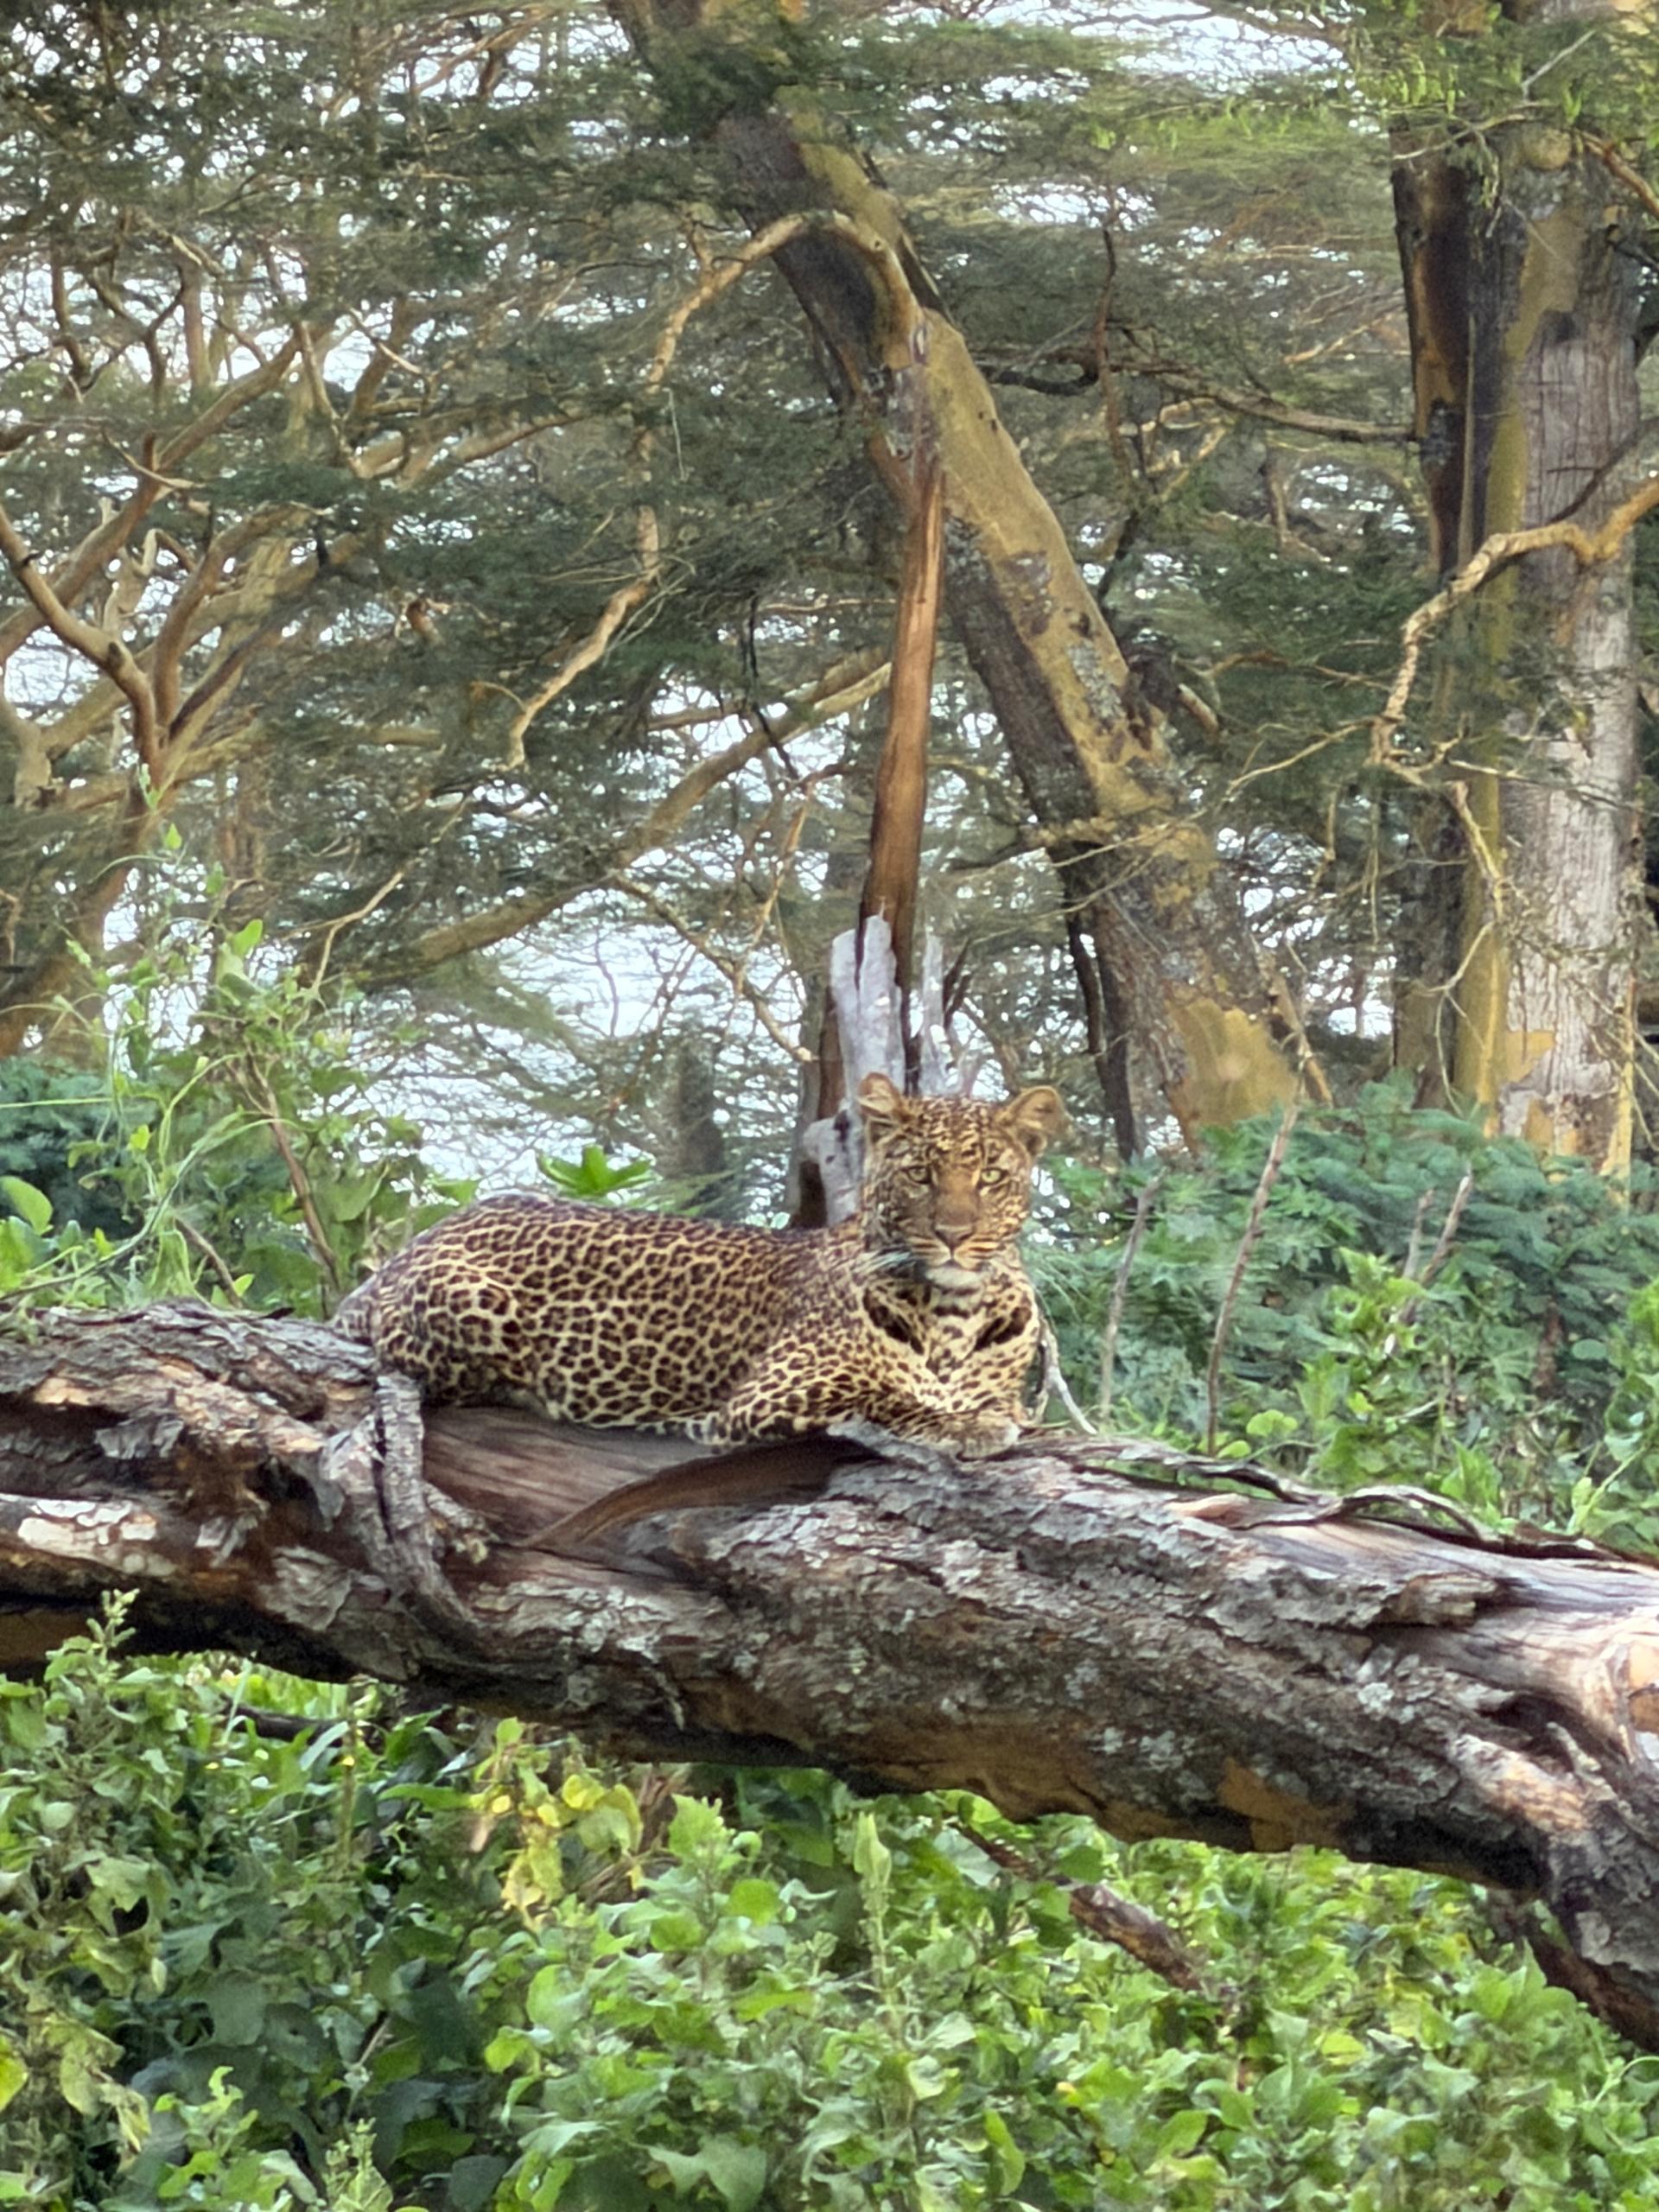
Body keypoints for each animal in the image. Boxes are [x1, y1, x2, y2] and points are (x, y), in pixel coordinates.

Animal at [334, 1073, 1067, 1451]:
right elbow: (884, 1393)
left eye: (992, 1177)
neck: (954, 1308)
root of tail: (405, 1253)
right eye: (920, 1175)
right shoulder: (771, 1391)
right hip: (470, 1308)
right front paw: (963, 1425)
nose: (954, 1235)